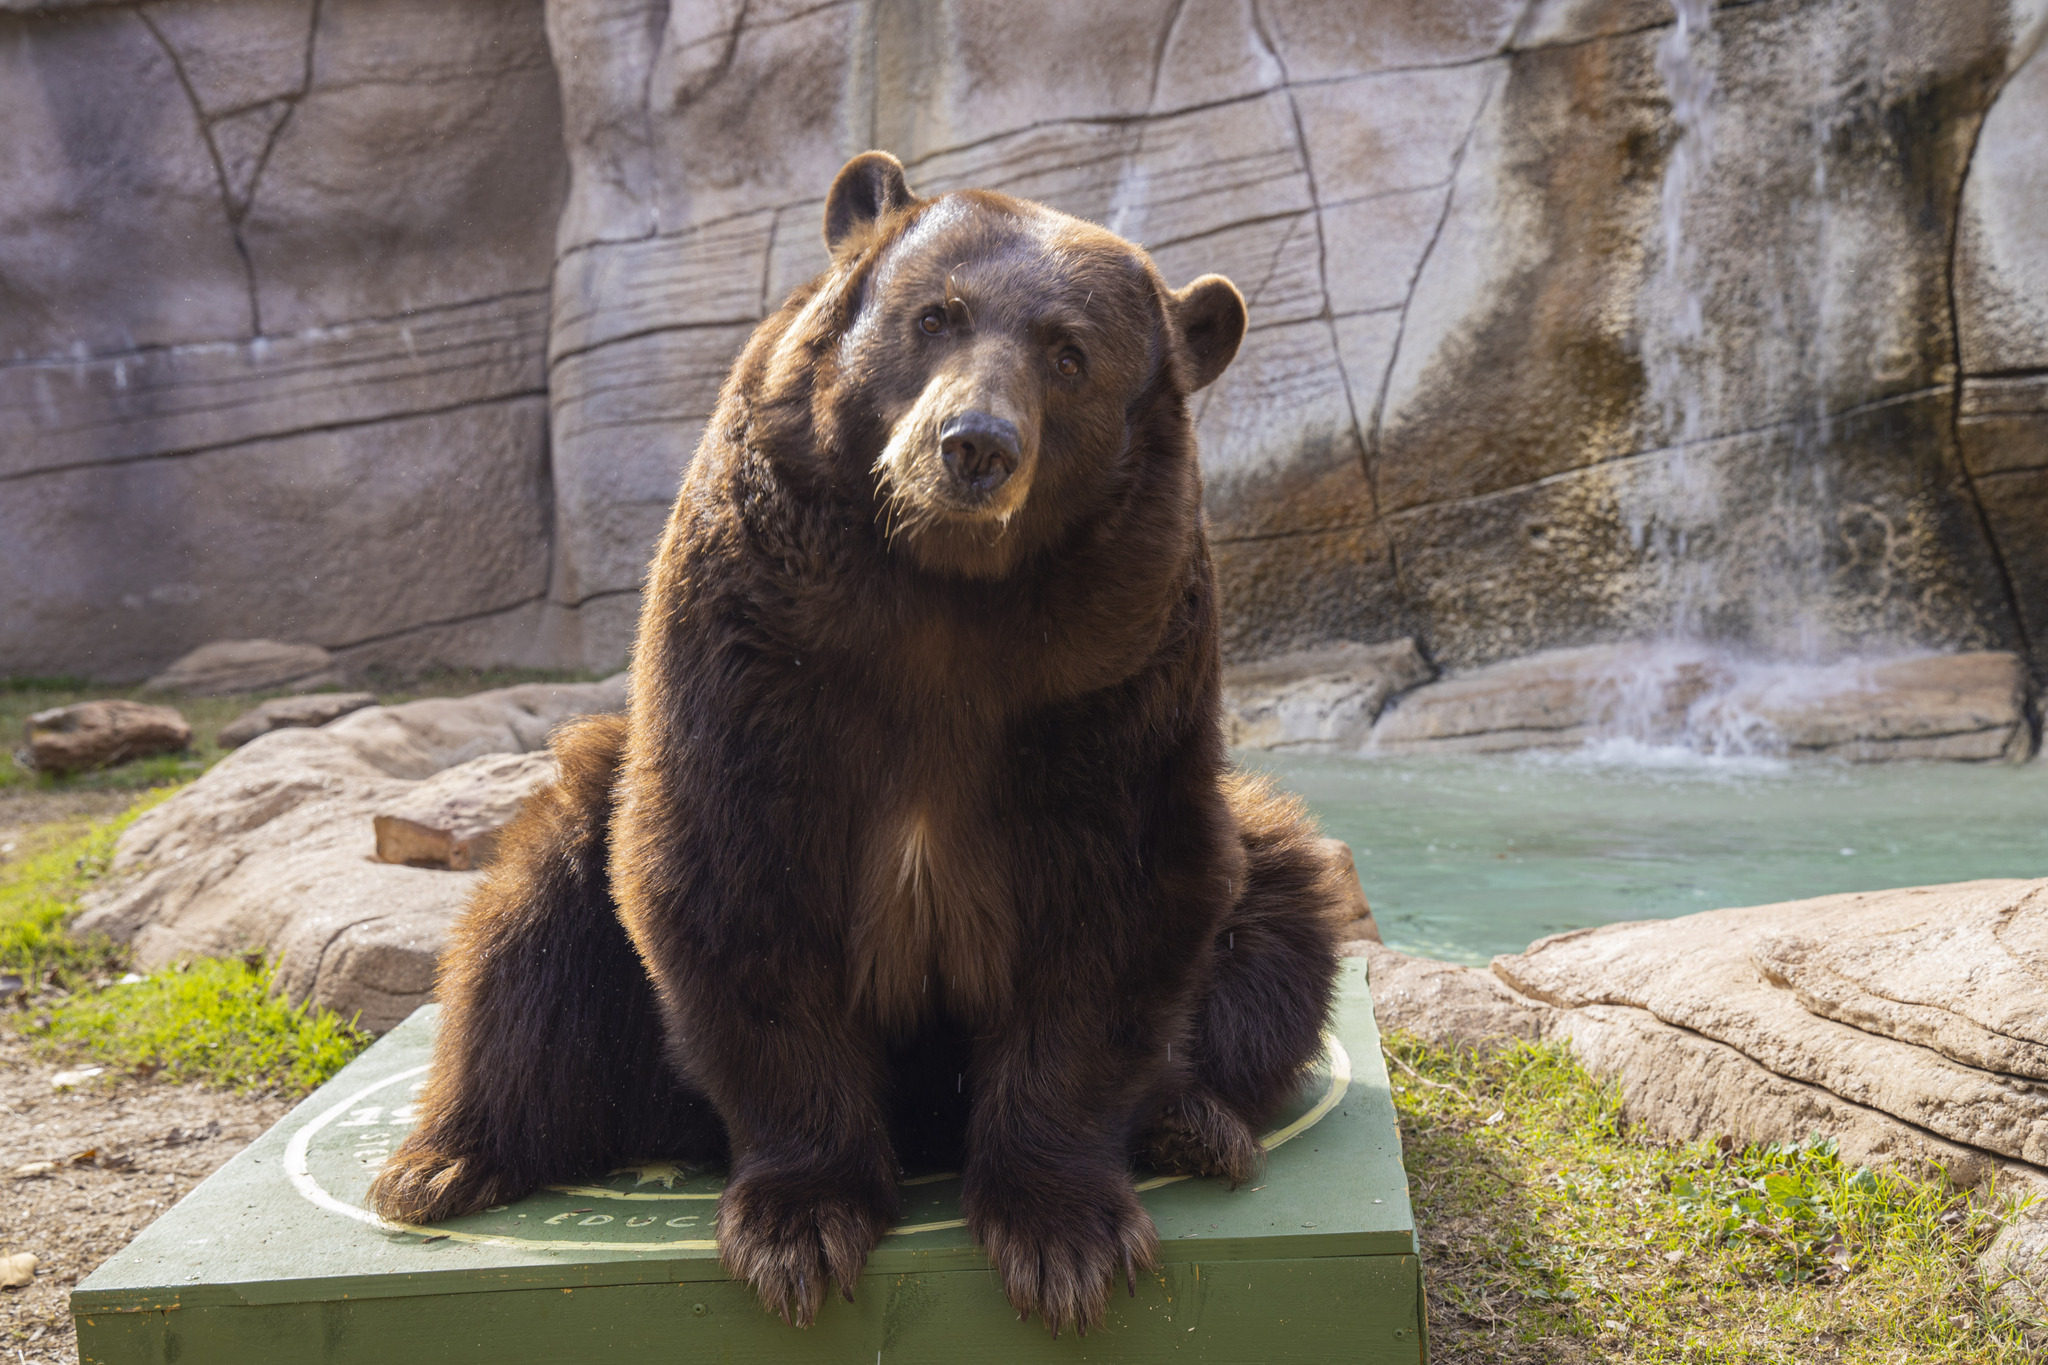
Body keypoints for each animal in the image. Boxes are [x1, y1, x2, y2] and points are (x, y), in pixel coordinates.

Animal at [372, 149, 1343, 1334]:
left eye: (1068, 354)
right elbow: (736, 879)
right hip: (588, 831)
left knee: (1279, 917)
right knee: (527, 933)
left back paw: (1194, 1122)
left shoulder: (1113, 672)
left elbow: (1112, 900)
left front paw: (1064, 1234)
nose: (972, 446)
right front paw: (801, 1224)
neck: (944, 594)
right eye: (935, 315)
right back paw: (443, 1162)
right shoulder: (762, 643)